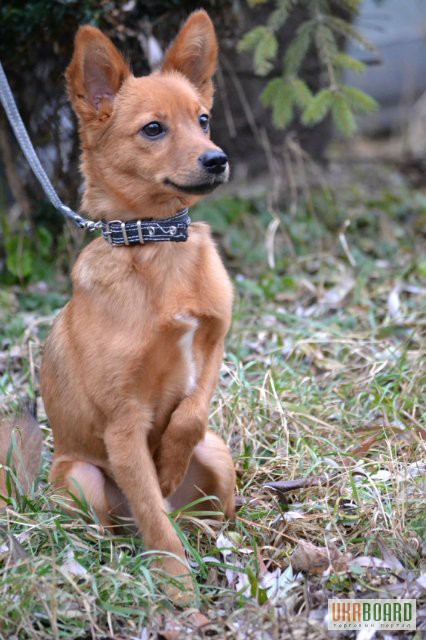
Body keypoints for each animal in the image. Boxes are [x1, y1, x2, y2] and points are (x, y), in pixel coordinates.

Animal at [39, 10, 235, 604]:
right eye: (153, 129)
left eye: (203, 119)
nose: (218, 158)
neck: (155, 244)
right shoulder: (124, 426)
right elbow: (154, 517)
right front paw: (178, 588)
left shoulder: (214, 343)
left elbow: (190, 413)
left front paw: (169, 463)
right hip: (83, 479)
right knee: (127, 526)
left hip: (220, 456)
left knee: (199, 511)